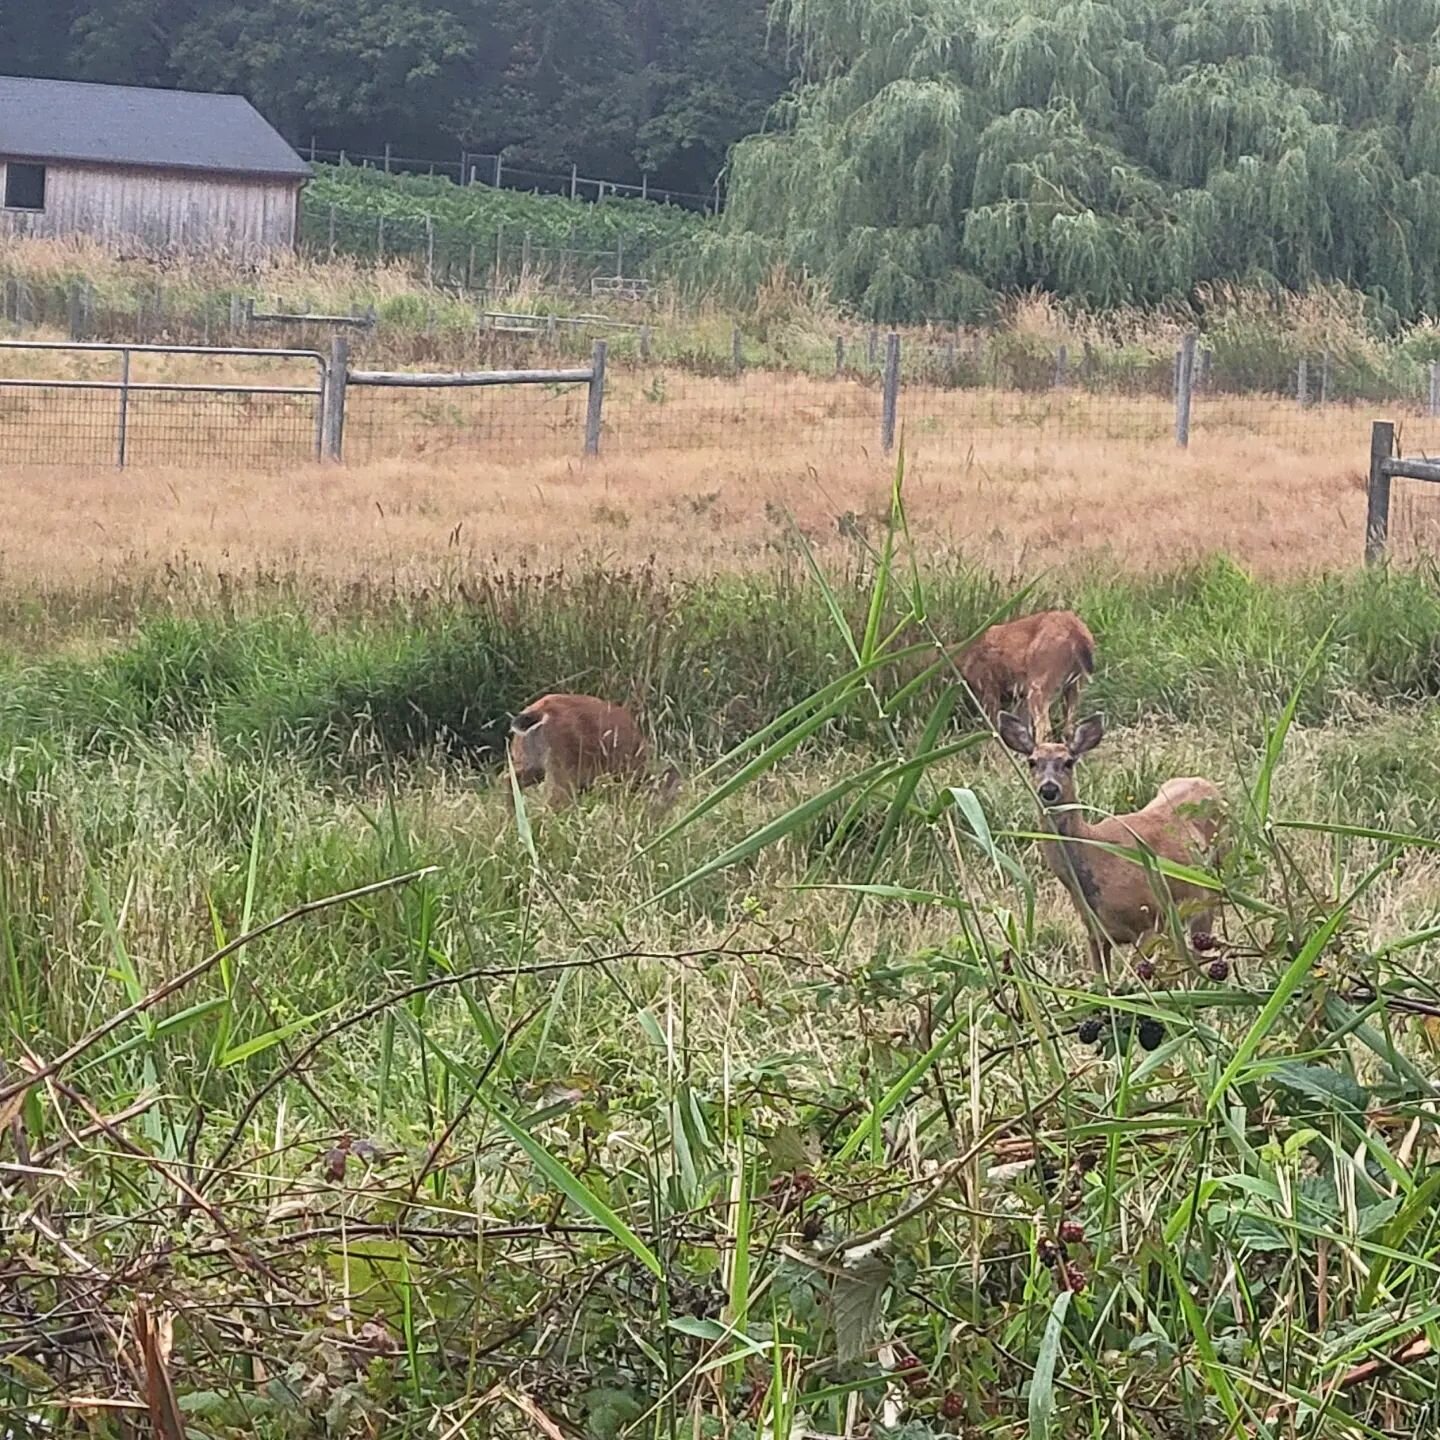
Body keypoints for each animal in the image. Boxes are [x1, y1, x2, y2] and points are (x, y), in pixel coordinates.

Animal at [950, 610, 1094, 743]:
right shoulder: (1020, 696)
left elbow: (994, 725)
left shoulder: (989, 687)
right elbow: (1022, 727)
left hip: (1039, 683)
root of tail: (1076, 629)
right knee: (1069, 726)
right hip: (1075, 683)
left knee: (1045, 727)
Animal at [1002, 711, 1226, 979]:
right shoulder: (1095, 934)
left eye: (1068, 762)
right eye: (1032, 762)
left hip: (1210, 891)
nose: (1048, 789)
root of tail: (1207, 784)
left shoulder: (1148, 919)